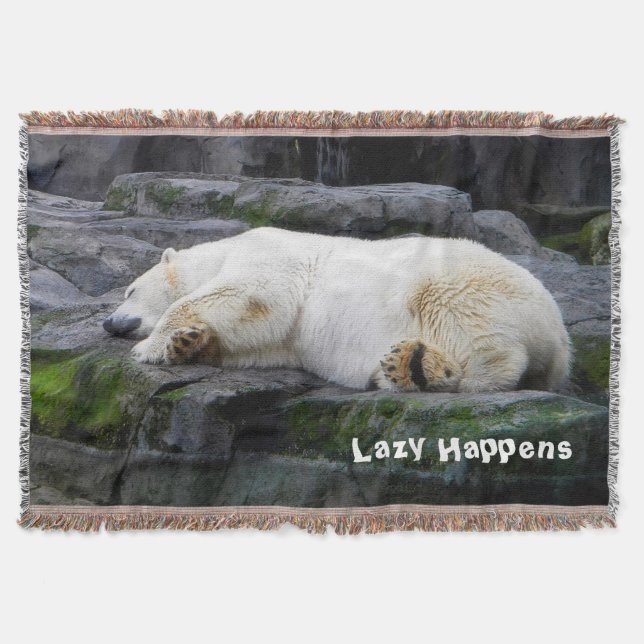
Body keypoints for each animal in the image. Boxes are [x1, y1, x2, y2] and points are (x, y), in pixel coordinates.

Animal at [103, 227, 570, 393]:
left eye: (129, 290)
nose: (108, 323)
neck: (221, 251)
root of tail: (560, 336)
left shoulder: (269, 255)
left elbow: (249, 293)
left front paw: (151, 346)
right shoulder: (282, 341)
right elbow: (255, 338)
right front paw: (186, 344)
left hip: (458, 285)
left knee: (482, 342)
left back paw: (424, 371)